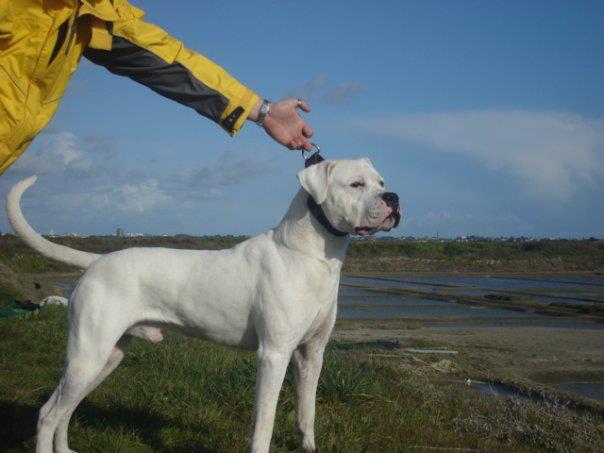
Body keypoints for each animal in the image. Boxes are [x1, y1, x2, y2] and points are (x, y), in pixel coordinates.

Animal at [7, 157, 402, 450]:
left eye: (381, 181)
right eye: (356, 185)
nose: (394, 197)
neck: (308, 255)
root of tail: (95, 261)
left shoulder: (311, 354)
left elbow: (307, 414)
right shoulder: (274, 354)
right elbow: (265, 421)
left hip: (105, 358)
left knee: (66, 410)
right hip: (87, 355)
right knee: (48, 413)